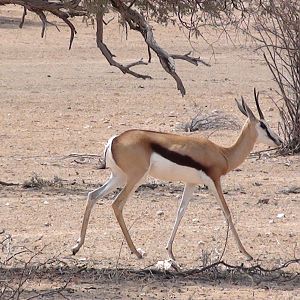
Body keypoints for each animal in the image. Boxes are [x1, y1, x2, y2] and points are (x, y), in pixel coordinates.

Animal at [71, 88, 282, 262]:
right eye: (263, 125)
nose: (279, 140)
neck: (223, 153)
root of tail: (115, 139)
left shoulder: (191, 183)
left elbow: (180, 212)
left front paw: (170, 251)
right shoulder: (214, 181)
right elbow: (227, 212)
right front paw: (246, 253)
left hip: (119, 177)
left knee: (93, 195)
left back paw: (77, 247)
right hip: (135, 178)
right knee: (117, 204)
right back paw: (136, 252)